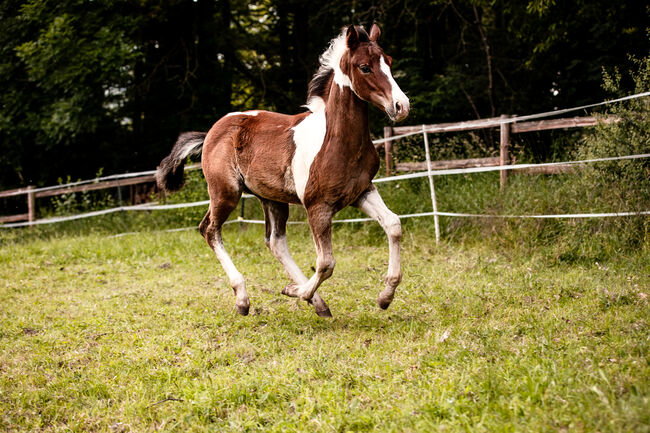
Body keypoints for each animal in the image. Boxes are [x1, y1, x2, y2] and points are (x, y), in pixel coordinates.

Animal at [156, 23, 408, 316]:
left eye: (389, 61)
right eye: (365, 67)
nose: (401, 106)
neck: (337, 140)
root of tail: (211, 132)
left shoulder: (361, 191)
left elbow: (393, 225)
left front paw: (385, 297)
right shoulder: (317, 206)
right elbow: (326, 263)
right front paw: (295, 292)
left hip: (272, 198)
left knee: (275, 241)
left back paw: (317, 302)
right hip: (225, 192)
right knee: (209, 229)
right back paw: (244, 299)